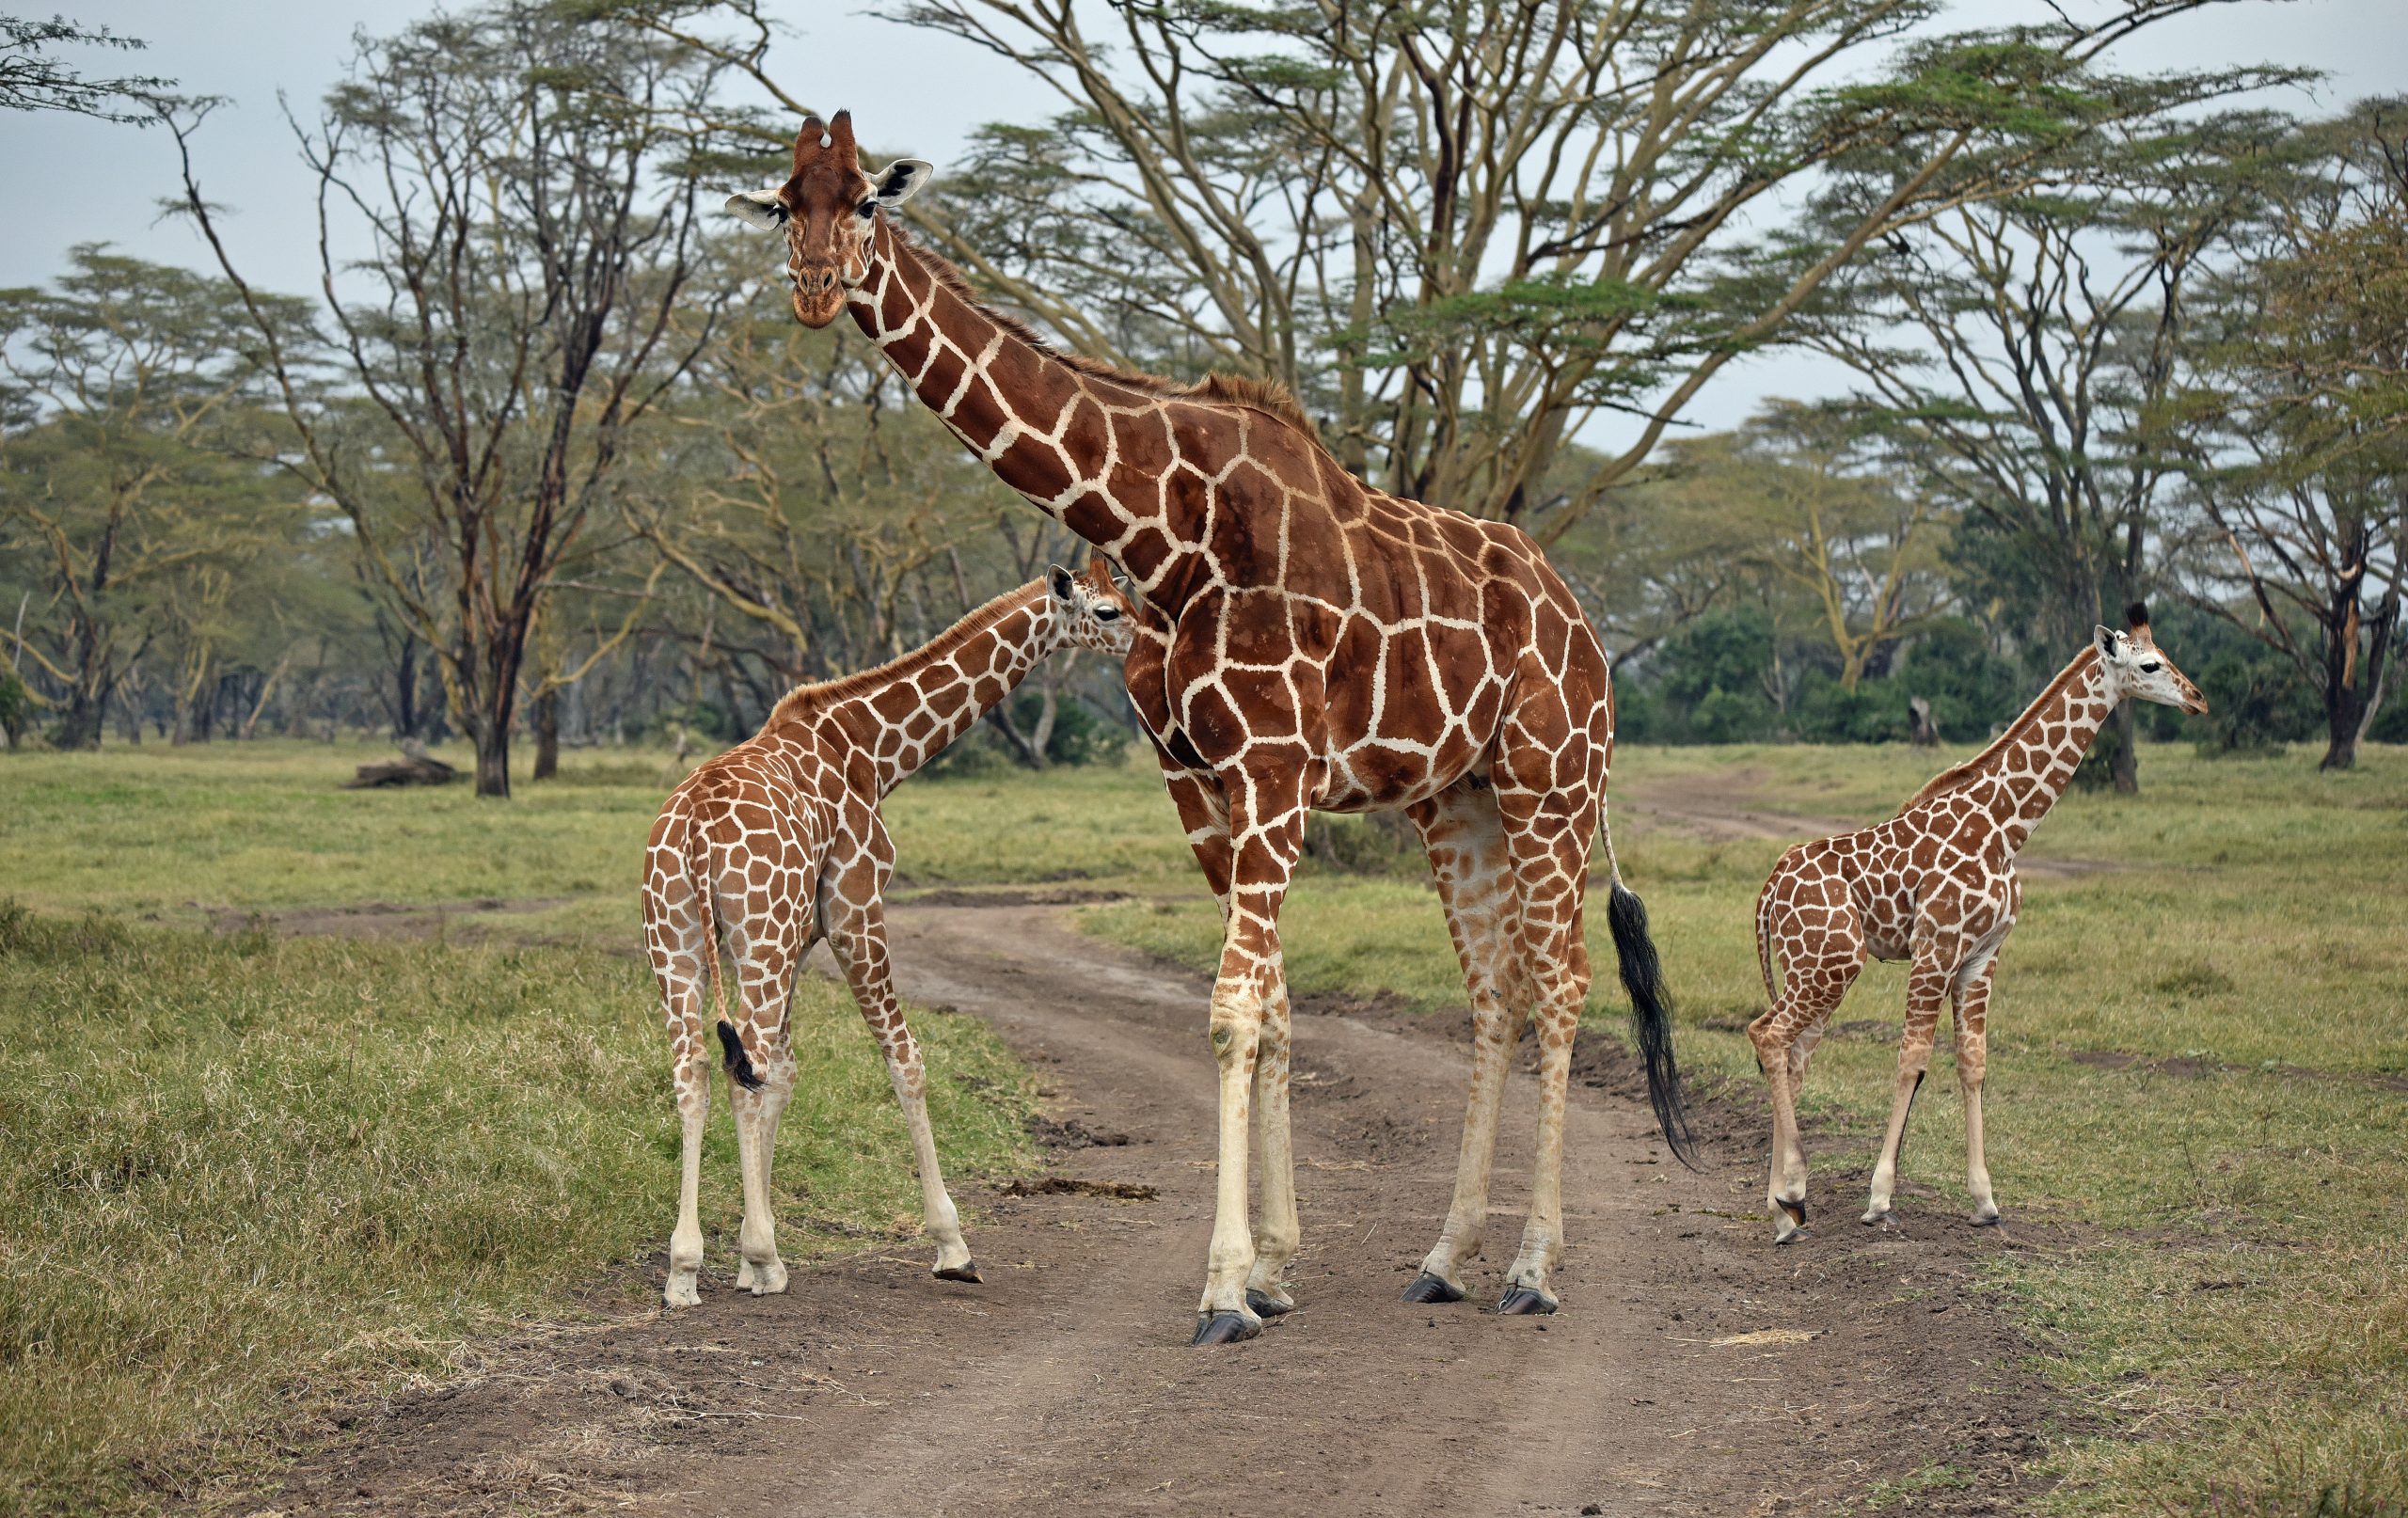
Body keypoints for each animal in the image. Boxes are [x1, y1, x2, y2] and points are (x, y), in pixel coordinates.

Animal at [644, 562, 1134, 1309]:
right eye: (1107, 610)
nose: (1147, 639)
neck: (871, 749)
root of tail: (695, 832)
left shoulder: (798, 938)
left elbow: (781, 1073)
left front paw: (750, 1259)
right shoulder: (855, 908)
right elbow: (904, 1060)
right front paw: (951, 1248)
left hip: (682, 945)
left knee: (698, 1067)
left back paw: (683, 1270)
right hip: (752, 940)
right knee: (734, 1068)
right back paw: (748, 1258)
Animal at [724, 111, 1695, 1344]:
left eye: (862, 201)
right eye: (781, 205)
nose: (813, 287)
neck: (1164, 529)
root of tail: (1583, 622)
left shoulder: (1273, 766)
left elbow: (1234, 1010)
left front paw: (1226, 1288)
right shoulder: (1201, 779)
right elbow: (1270, 1005)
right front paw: (1275, 1269)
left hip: (1551, 778)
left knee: (1562, 981)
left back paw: (1533, 1267)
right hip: (1456, 800)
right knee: (1496, 992)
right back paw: (1443, 1258)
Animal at [1748, 605, 2206, 1244]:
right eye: (2151, 665)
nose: (2198, 699)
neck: (2007, 825)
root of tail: (1769, 890)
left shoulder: (1982, 956)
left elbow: (1973, 1063)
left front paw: (1985, 1201)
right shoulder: (1936, 946)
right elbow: (1913, 1059)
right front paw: (1879, 1199)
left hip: (1812, 965)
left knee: (1792, 1054)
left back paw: (1783, 1206)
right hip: (1832, 962)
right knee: (1768, 1035)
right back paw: (1791, 1197)